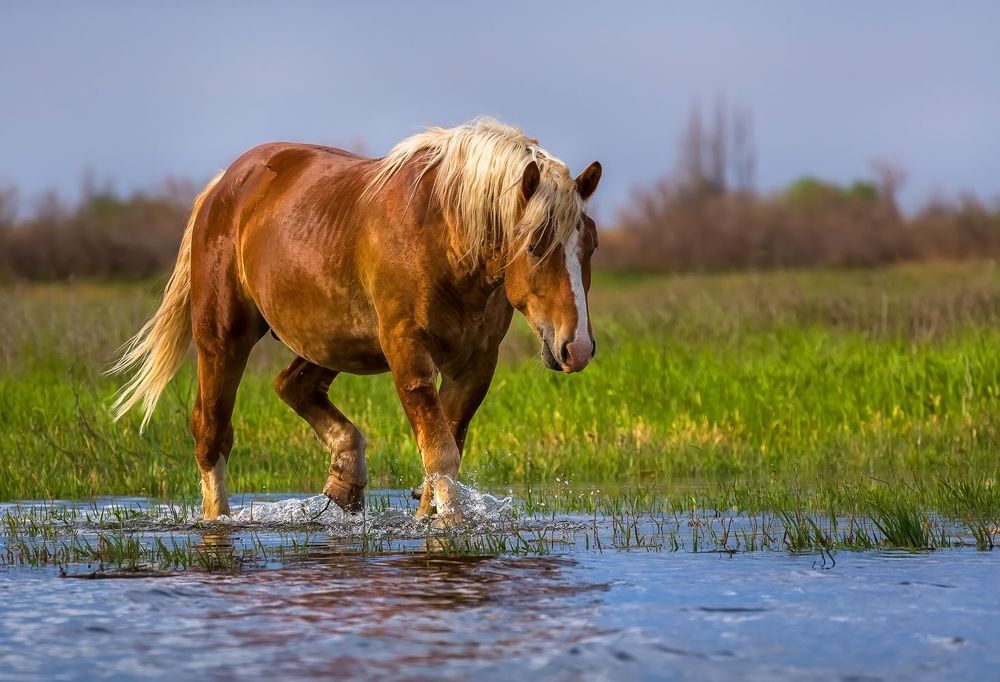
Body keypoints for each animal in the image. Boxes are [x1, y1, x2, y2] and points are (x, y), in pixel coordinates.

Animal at [109, 117, 602, 522]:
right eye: (536, 243)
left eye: (591, 244)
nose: (576, 348)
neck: (445, 233)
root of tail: (222, 186)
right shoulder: (408, 353)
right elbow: (440, 453)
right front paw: (450, 526)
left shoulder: (476, 364)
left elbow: (446, 450)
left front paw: (429, 518)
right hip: (223, 337)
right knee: (211, 431)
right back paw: (219, 519)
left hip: (329, 341)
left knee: (293, 386)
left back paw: (345, 477)